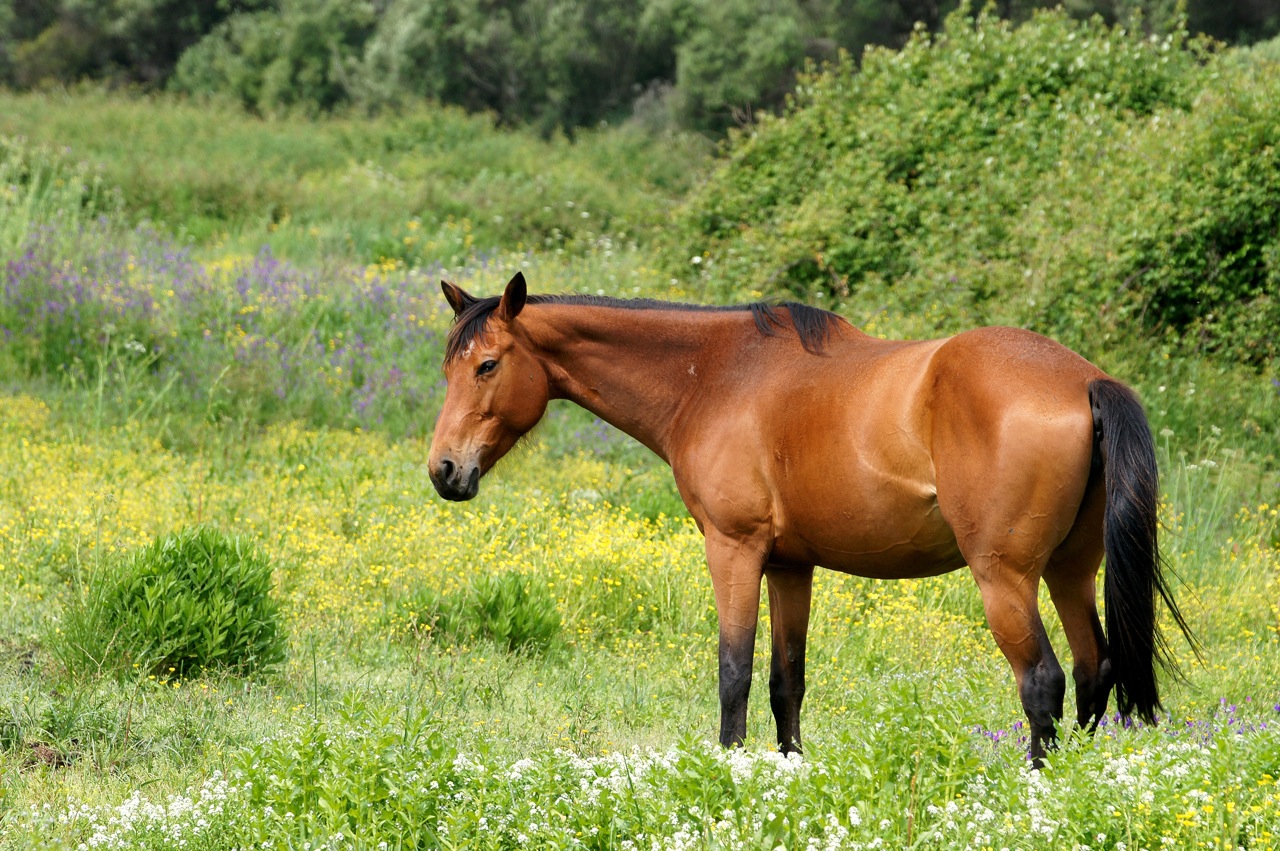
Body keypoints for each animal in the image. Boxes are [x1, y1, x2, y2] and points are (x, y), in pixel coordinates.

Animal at [427, 272, 1187, 762]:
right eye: (448, 370)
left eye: (488, 365)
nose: (444, 470)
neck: (716, 377)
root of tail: (1085, 379)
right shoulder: (791, 565)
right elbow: (784, 681)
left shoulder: (733, 550)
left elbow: (733, 671)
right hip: (1068, 572)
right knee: (1093, 671)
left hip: (1005, 578)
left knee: (1043, 683)